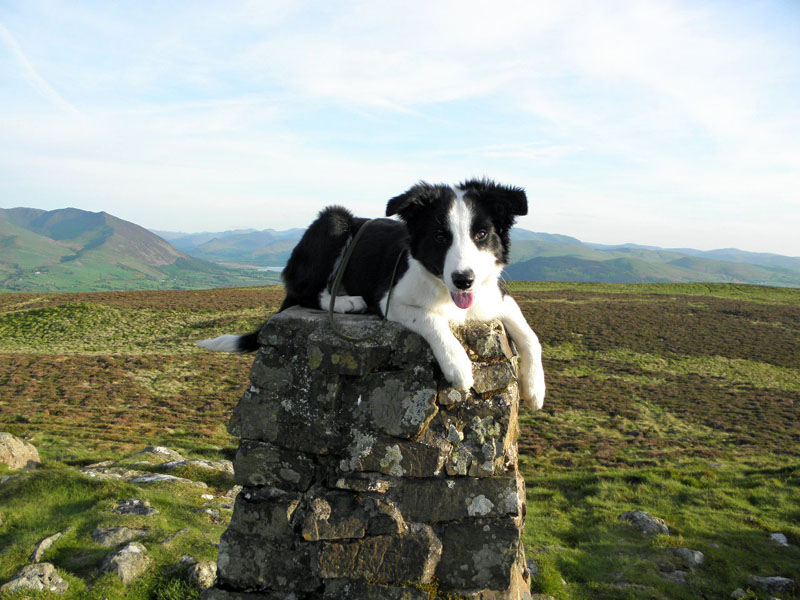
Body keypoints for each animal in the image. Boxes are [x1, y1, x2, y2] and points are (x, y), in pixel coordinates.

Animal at [200, 178, 548, 410]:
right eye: (440, 236)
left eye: (481, 234)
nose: (464, 280)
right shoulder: (391, 300)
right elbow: (431, 318)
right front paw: (458, 365)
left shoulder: (497, 297)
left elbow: (531, 337)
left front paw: (535, 389)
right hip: (333, 222)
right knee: (305, 291)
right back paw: (347, 302)